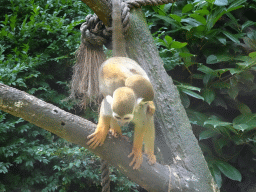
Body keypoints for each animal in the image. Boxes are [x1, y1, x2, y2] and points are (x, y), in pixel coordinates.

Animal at [86, 0, 156, 170]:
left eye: (127, 118)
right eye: (119, 117)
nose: (121, 123)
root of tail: (116, 57)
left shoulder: (138, 108)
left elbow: (142, 123)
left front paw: (137, 151)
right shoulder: (112, 104)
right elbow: (104, 110)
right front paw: (102, 130)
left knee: (149, 114)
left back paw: (149, 152)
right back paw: (115, 130)